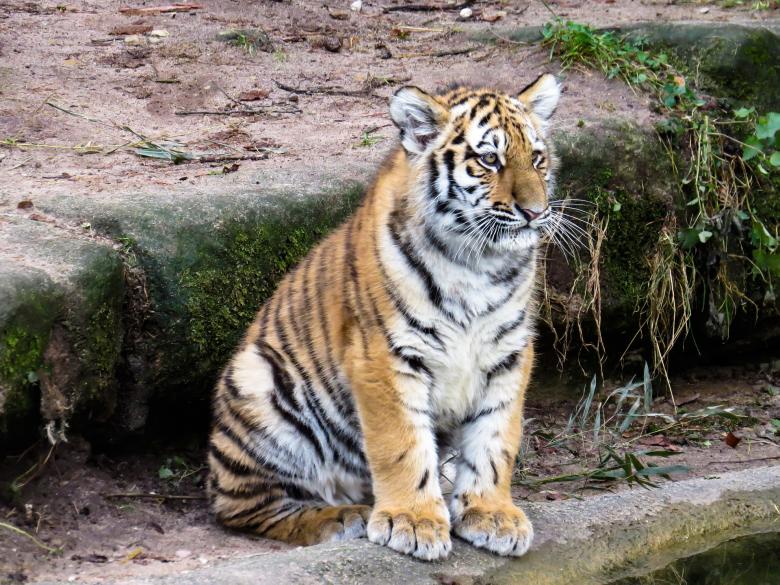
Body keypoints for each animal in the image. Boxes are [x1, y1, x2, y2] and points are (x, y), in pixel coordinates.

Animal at [207, 73, 563, 561]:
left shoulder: (508, 353)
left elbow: (495, 440)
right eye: (489, 159)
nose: (535, 212)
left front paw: (491, 514)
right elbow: (402, 444)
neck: (478, 263)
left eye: (538, 158)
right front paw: (412, 521)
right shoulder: (386, 354)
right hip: (258, 383)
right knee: (247, 505)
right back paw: (342, 517)